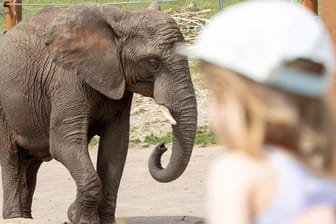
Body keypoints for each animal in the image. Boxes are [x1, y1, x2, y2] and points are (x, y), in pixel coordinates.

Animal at [0, 2, 197, 224]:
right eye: (153, 63)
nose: (162, 145)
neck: (120, 19)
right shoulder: (67, 81)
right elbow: (63, 143)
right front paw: (78, 218)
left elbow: (115, 146)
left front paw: (98, 219)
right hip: (4, 109)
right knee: (11, 157)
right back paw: (15, 217)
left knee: (31, 162)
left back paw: (25, 217)